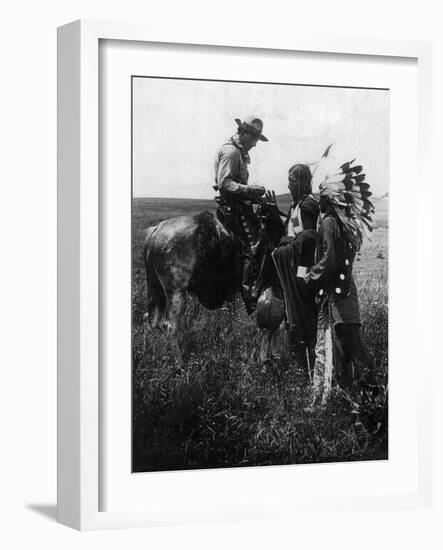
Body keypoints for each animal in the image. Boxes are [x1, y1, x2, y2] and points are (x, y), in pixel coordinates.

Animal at [144, 201, 286, 368]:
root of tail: (156, 231)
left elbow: (276, 327)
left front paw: (273, 355)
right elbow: (273, 327)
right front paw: (267, 358)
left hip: (157, 290)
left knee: (151, 320)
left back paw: (150, 354)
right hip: (176, 292)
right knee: (169, 326)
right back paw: (180, 365)